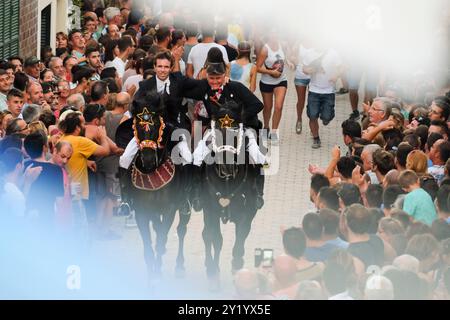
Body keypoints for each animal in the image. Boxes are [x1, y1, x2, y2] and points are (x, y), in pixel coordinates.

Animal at [116, 92, 192, 278]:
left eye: (157, 124)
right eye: (137, 126)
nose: (148, 159)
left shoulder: (170, 209)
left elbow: (162, 236)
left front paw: (157, 271)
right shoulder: (142, 211)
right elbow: (149, 247)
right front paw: (153, 274)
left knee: (181, 229)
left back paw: (179, 265)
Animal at [193, 102, 264, 290]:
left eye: (236, 133)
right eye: (216, 133)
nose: (227, 168)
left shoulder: (248, 211)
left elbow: (241, 235)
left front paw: (237, 265)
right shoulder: (210, 210)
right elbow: (216, 239)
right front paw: (213, 274)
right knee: (206, 235)